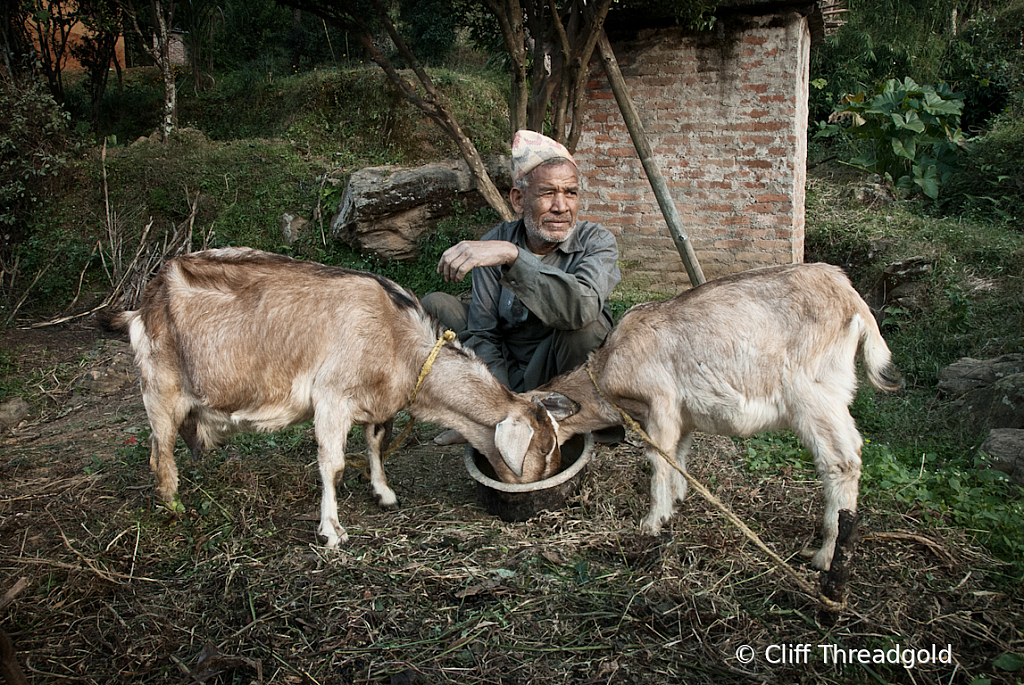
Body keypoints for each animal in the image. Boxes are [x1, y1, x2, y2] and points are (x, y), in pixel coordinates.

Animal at [103, 245, 561, 544]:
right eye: (542, 449)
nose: (547, 484)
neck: (399, 340)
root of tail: (144, 303)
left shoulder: (378, 404)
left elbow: (376, 445)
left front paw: (384, 494)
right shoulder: (331, 398)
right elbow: (333, 465)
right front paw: (332, 531)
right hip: (159, 389)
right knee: (159, 456)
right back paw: (174, 508)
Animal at [532, 264, 901, 573]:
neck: (609, 366)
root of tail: (850, 295)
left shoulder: (661, 404)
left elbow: (659, 458)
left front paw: (652, 521)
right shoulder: (680, 416)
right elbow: (678, 454)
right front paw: (677, 499)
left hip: (813, 395)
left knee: (841, 461)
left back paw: (826, 555)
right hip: (833, 395)